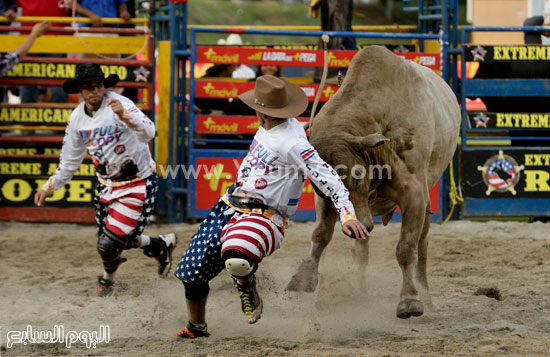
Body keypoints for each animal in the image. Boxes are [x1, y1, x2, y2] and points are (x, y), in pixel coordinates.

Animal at [286, 43, 464, 318]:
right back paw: (360, 293)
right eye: (325, 188)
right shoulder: (325, 201)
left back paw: (424, 294)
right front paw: (304, 276)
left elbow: (406, 247)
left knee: (421, 245)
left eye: (358, 176)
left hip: (425, 202)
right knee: (361, 249)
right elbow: (321, 233)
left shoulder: (414, 193)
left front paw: (409, 299)